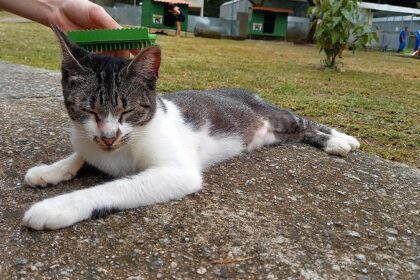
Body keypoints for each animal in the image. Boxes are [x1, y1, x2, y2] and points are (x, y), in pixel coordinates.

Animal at [22, 27, 358, 231]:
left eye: (127, 111)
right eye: (88, 110)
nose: (108, 136)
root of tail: (247, 92)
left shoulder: (176, 171)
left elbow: (114, 187)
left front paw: (56, 207)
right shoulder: (87, 137)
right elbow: (81, 152)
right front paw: (52, 170)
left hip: (276, 116)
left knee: (306, 122)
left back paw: (340, 140)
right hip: (274, 134)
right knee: (299, 133)